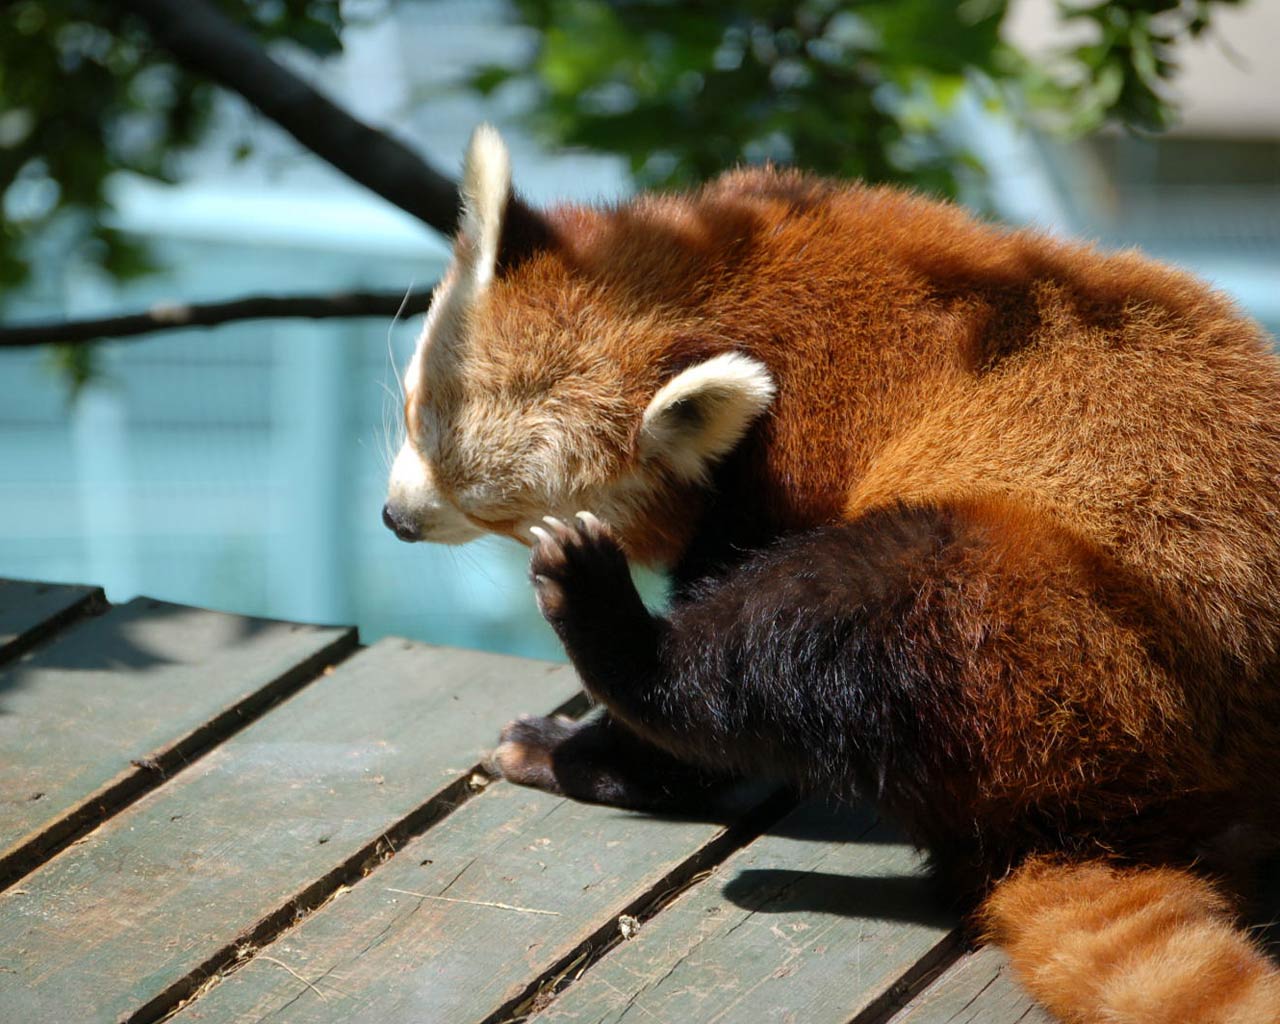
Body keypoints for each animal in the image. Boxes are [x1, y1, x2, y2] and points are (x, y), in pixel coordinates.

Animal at [383, 125, 1280, 1022]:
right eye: (415, 417)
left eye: (494, 507)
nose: (396, 519)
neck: (717, 293)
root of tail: (1152, 823)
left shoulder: (787, 463)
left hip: (1041, 630)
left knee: (803, 637)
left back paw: (601, 658)